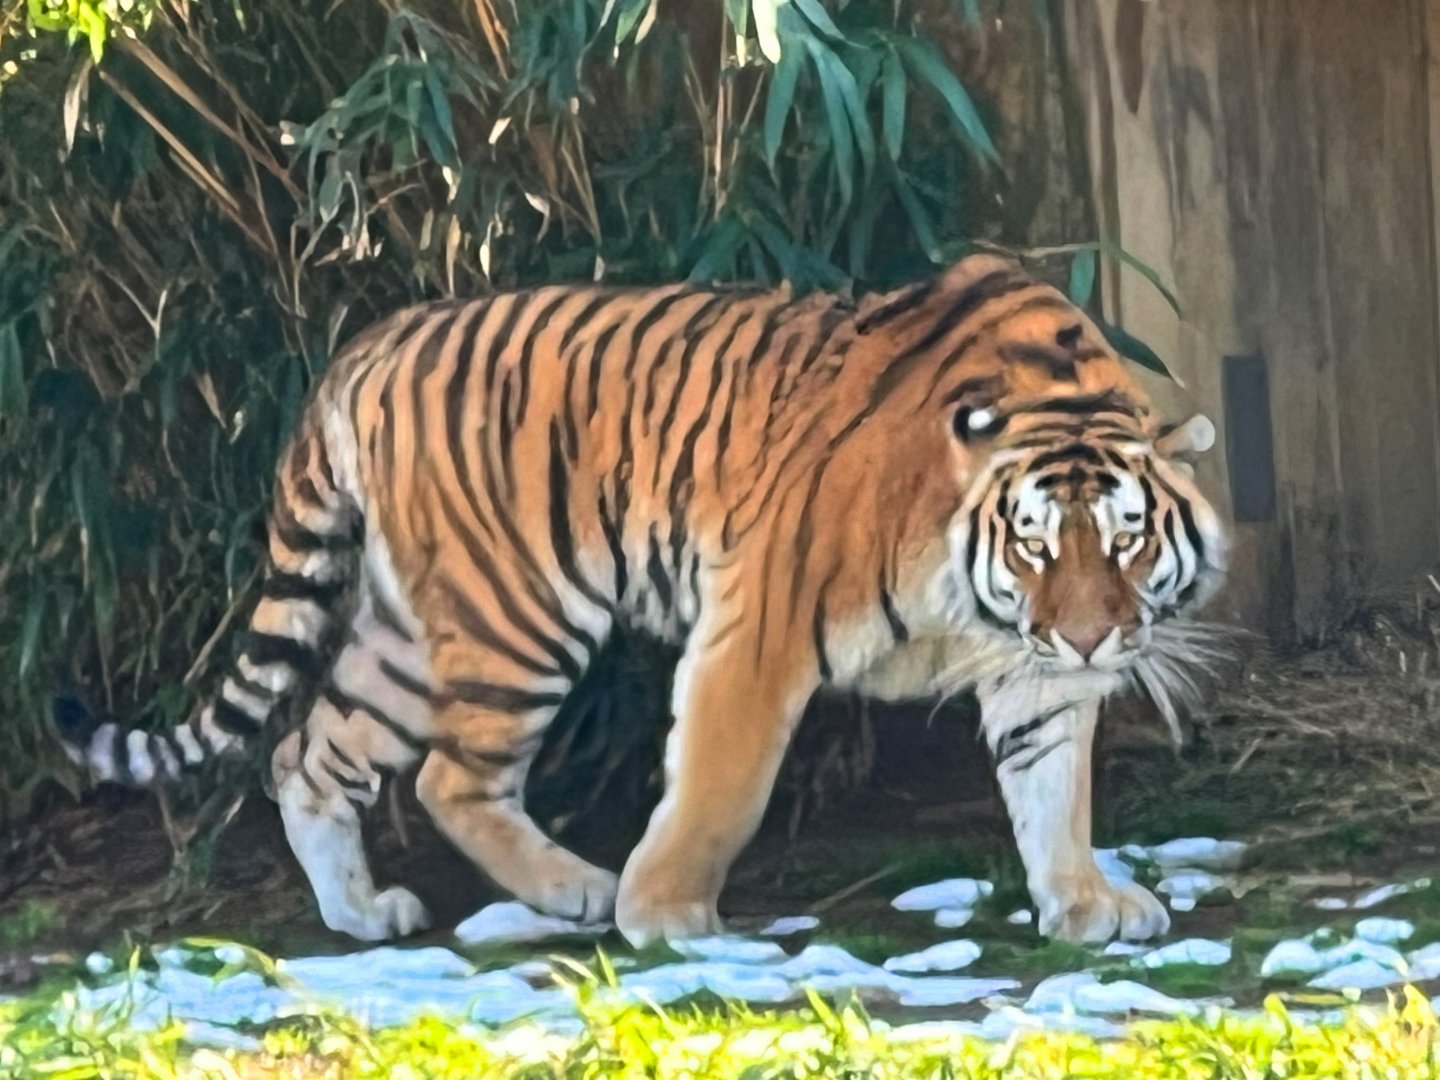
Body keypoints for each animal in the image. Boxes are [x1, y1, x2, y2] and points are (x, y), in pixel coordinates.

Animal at [58, 252, 1228, 947]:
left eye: (1126, 540)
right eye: (1032, 544)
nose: (1092, 639)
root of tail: (366, 345)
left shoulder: (1037, 675)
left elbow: (1054, 792)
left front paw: (1084, 904)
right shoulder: (759, 627)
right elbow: (720, 784)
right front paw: (663, 917)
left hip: (405, 635)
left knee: (308, 752)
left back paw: (361, 914)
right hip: (515, 614)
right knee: (447, 778)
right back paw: (575, 891)